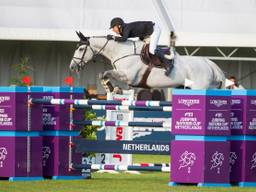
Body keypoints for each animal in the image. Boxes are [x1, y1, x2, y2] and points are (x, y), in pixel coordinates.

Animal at [70, 31, 226, 92]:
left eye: (81, 49)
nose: (72, 67)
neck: (122, 51)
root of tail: (208, 63)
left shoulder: (128, 76)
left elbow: (105, 73)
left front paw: (112, 88)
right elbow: (102, 74)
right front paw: (112, 88)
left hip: (199, 87)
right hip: (210, 87)